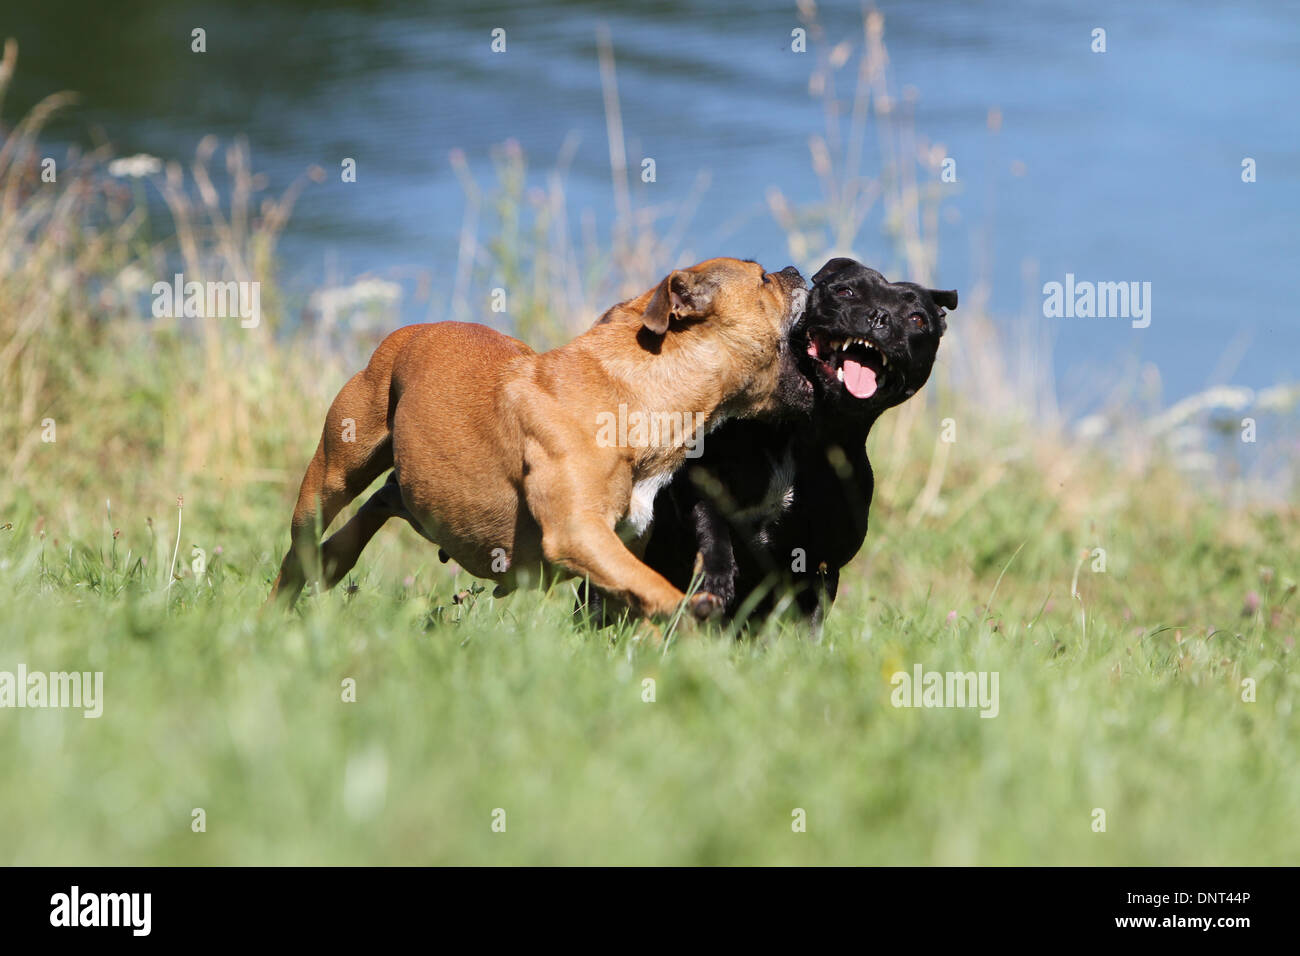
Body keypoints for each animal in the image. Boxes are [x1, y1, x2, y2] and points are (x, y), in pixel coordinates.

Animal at [269, 260, 806, 621]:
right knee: (302, 544)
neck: (635, 390)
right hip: (334, 473)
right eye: (763, 279)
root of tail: (410, 330)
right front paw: (690, 616)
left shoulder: (620, 548)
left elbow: (632, 596)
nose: (795, 270)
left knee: (361, 525)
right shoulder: (579, 533)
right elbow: (655, 588)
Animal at [624, 256, 961, 629]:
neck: (806, 433)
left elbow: (811, 621)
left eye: (917, 318)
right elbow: (712, 527)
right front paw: (716, 576)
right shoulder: (697, 483)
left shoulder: (821, 565)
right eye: (845, 291)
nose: (879, 316)